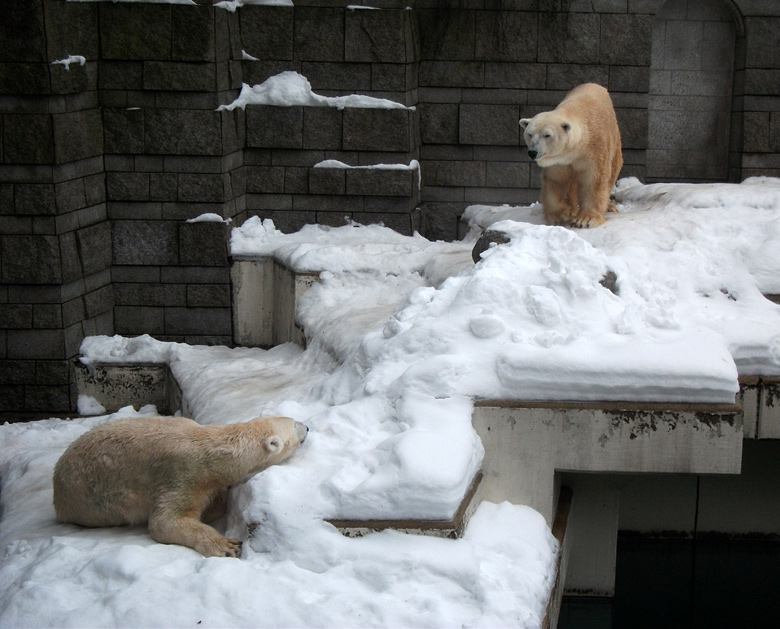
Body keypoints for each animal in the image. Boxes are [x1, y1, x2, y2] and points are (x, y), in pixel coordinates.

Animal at [51, 414, 308, 556]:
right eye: (294, 425)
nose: (307, 426)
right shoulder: (184, 474)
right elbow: (166, 521)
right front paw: (227, 545)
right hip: (85, 500)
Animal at [520, 83, 624, 228]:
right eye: (529, 134)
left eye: (547, 135)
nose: (532, 152)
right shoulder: (559, 161)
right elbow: (557, 181)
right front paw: (562, 215)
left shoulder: (596, 150)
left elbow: (594, 180)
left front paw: (585, 219)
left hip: (614, 139)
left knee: (612, 171)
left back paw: (609, 206)